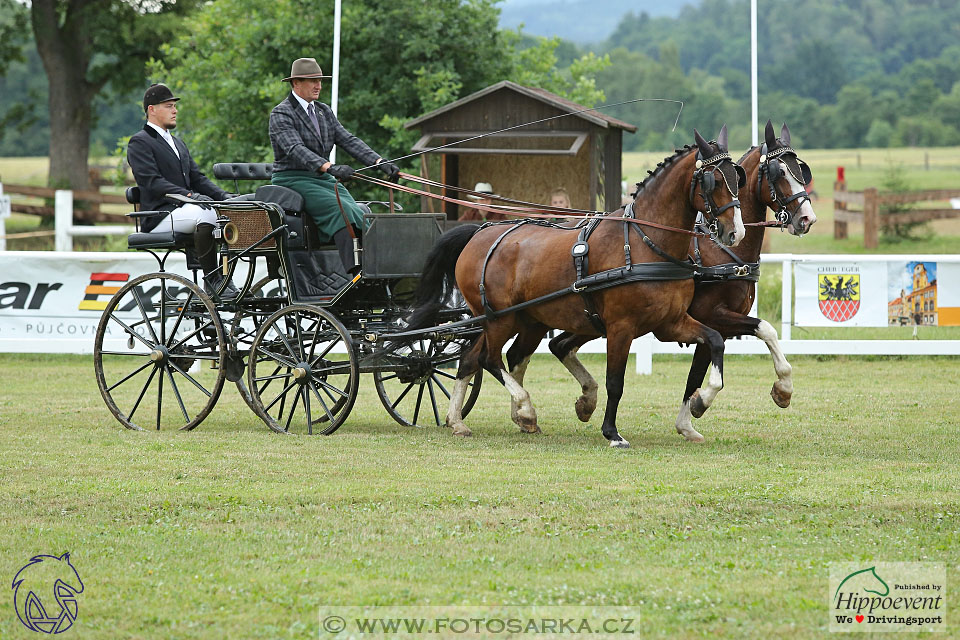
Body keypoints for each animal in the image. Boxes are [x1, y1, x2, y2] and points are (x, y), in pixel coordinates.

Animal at [408, 124, 748, 444]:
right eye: (713, 181)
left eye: (737, 177)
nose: (735, 233)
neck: (644, 243)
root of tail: (479, 233)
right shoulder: (621, 327)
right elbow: (615, 382)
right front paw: (612, 433)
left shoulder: (671, 322)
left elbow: (715, 340)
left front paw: (701, 402)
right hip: (499, 319)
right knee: (488, 359)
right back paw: (524, 409)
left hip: (521, 319)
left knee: (475, 359)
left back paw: (462, 421)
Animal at [510, 120, 816, 442]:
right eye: (779, 173)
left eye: (801, 170)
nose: (807, 218)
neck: (720, 252)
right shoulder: (712, 315)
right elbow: (753, 337)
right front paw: (708, 403)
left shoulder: (705, 322)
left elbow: (710, 364)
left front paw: (690, 420)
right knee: (524, 352)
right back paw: (526, 410)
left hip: (588, 321)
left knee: (556, 346)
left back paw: (567, 404)